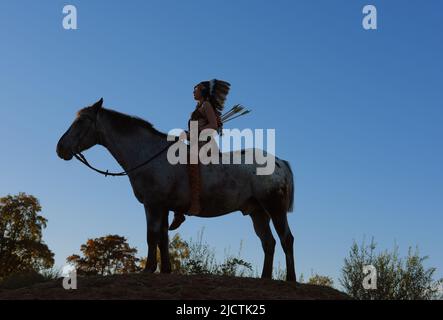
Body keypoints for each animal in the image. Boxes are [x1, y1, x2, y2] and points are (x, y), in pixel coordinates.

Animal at [56, 99, 298, 282]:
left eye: (81, 121)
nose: (60, 148)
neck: (149, 154)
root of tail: (280, 162)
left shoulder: (152, 205)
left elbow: (152, 235)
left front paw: (148, 268)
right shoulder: (163, 207)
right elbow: (163, 238)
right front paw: (165, 269)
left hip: (274, 208)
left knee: (286, 239)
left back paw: (290, 279)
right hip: (258, 212)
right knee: (268, 242)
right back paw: (265, 278)